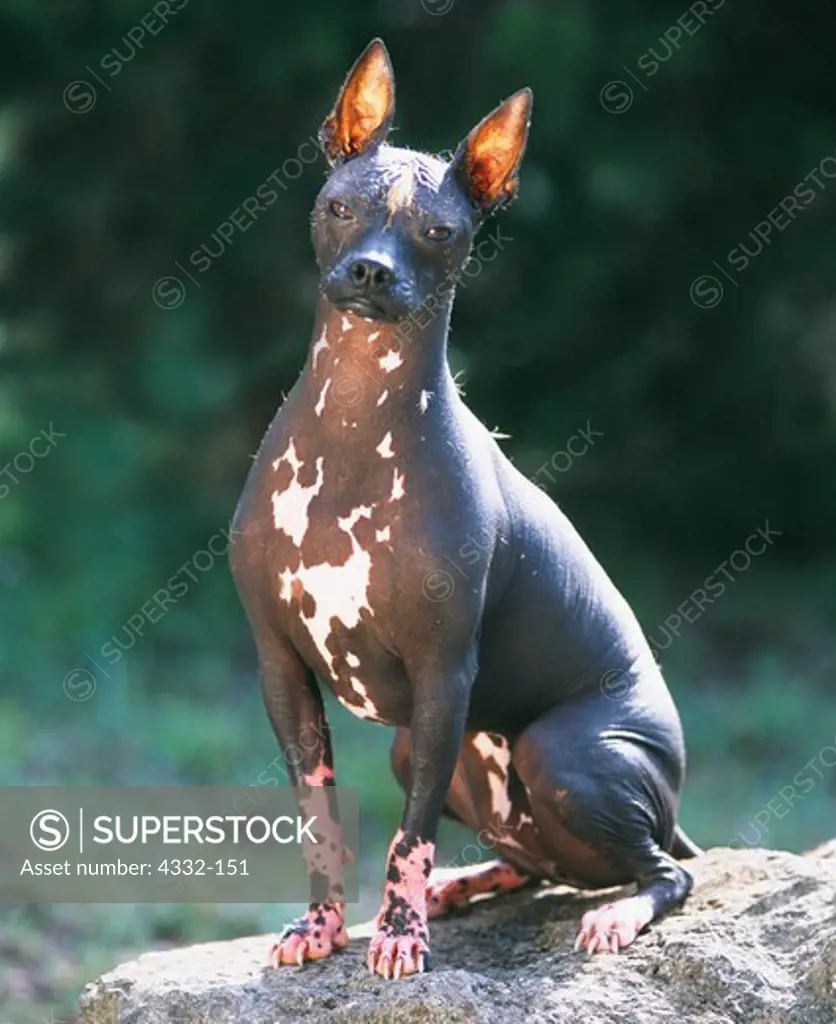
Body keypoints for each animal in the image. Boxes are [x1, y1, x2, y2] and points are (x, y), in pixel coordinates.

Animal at [230, 39, 700, 978]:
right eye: (339, 206)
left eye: (440, 231)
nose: (372, 270)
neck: (353, 428)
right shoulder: (280, 666)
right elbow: (319, 818)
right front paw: (322, 925)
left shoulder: (442, 674)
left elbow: (405, 838)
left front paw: (398, 934)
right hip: (423, 749)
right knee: (540, 864)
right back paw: (470, 883)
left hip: (565, 753)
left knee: (662, 870)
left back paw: (614, 913)